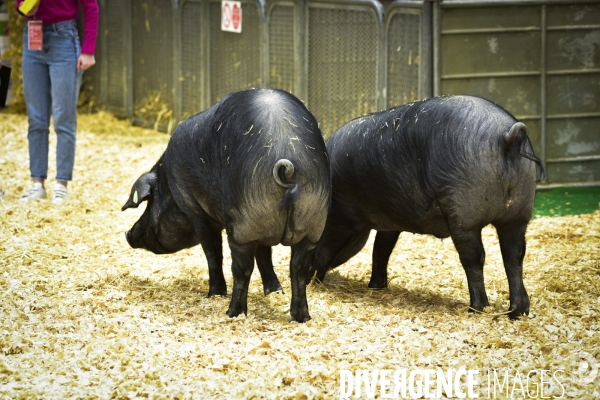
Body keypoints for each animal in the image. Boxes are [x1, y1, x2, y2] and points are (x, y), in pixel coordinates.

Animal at [312, 94, 548, 318]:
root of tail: (508, 136)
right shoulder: (390, 223)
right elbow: (381, 249)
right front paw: (376, 286)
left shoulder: (341, 218)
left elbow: (328, 248)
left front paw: (314, 280)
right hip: (518, 214)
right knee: (514, 254)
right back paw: (518, 311)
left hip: (464, 216)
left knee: (474, 258)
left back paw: (476, 309)